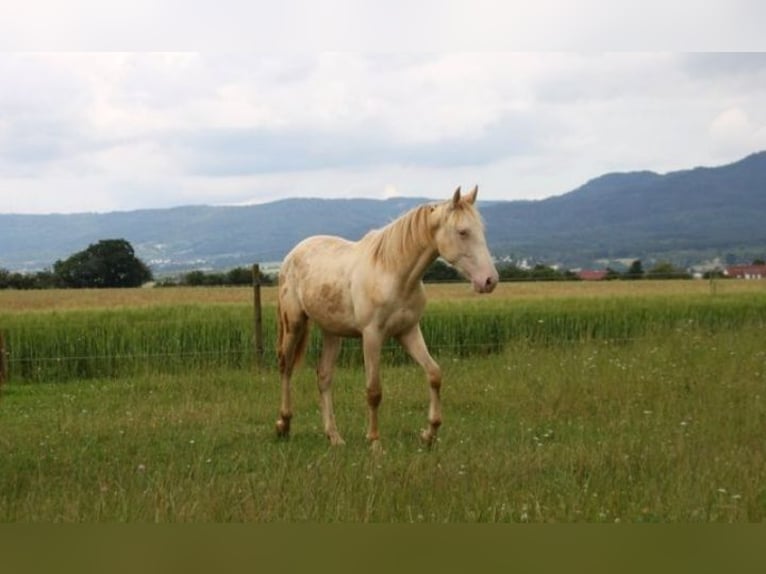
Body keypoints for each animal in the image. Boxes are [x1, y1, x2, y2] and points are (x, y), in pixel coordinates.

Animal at [274, 187, 498, 452]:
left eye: (481, 229)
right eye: (462, 231)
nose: (490, 281)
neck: (393, 273)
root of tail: (292, 255)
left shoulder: (409, 331)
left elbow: (434, 374)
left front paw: (429, 433)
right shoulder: (372, 335)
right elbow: (374, 391)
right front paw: (374, 442)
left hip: (332, 332)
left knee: (324, 376)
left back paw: (334, 437)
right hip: (294, 324)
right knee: (286, 368)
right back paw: (283, 425)